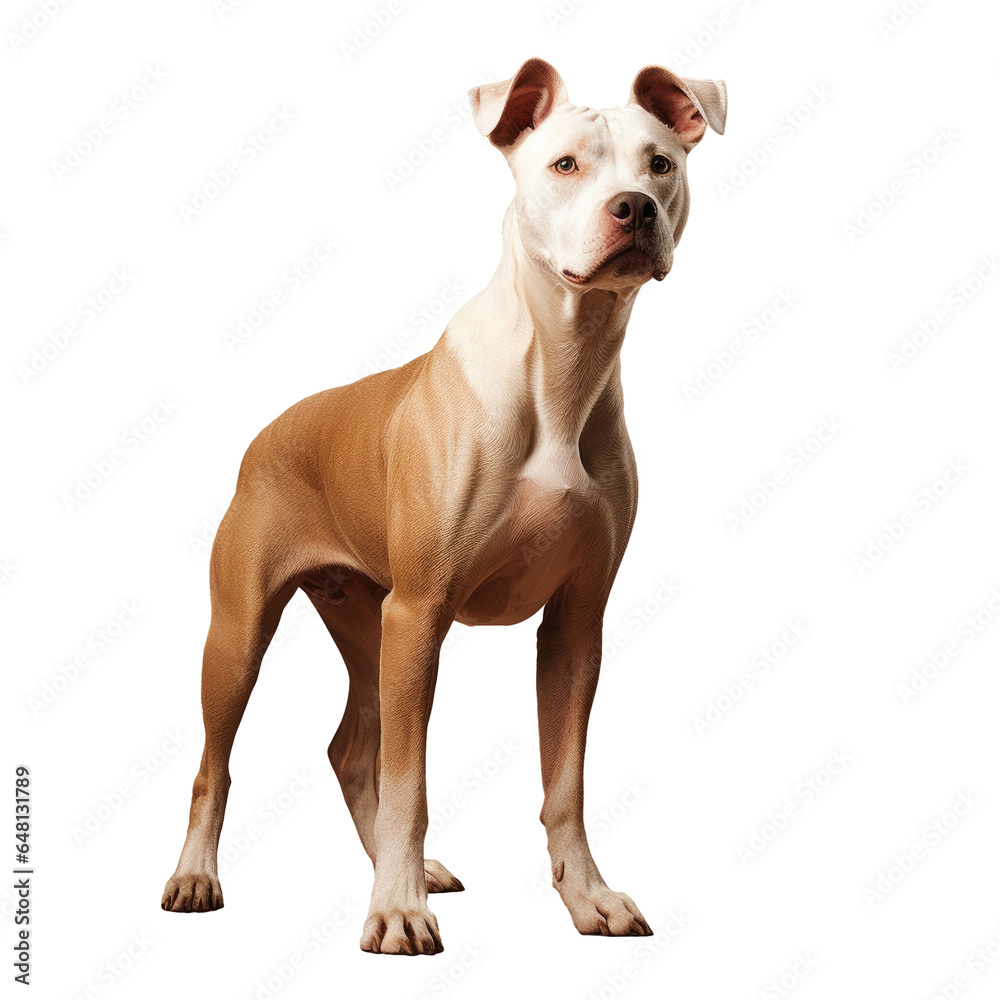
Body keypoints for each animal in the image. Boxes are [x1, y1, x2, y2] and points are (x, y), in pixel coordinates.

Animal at [162, 54, 728, 952]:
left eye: (661, 165)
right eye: (565, 165)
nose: (633, 208)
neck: (560, 365)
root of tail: (270, 429)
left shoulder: (575, 626)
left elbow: (564, 784)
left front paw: (587, 897)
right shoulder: (421, 612)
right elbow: (411, 781)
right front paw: (395, 913)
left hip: (366, 621)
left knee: (351, 748)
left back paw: (408, 870)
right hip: (247, 631)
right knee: (216, 761)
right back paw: (197, 877)